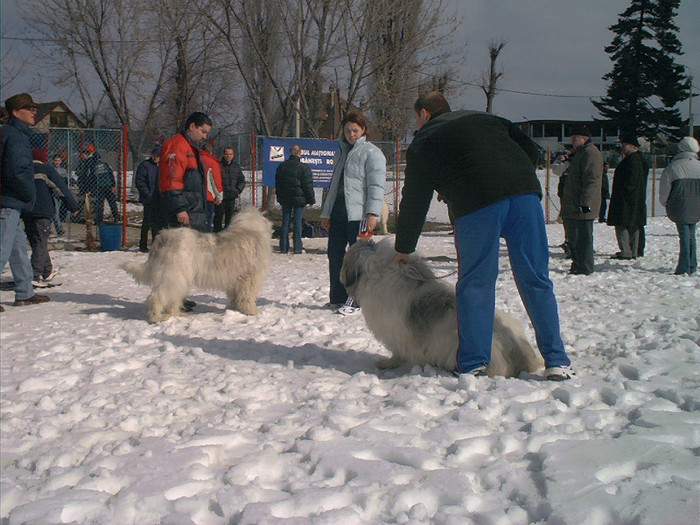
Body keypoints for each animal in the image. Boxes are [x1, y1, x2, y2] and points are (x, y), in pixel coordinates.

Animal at [123, 206, 270, 322]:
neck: (249, 230)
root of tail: (164, 236)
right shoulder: (249, 278)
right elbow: (247, 296)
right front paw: (251, 310)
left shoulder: (234, 280)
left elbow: (235, 296)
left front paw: (233, 308)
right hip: (172, 275)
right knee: (156, 297)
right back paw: (157, 317)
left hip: (176, 278)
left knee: (172, 299)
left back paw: (177, 314)